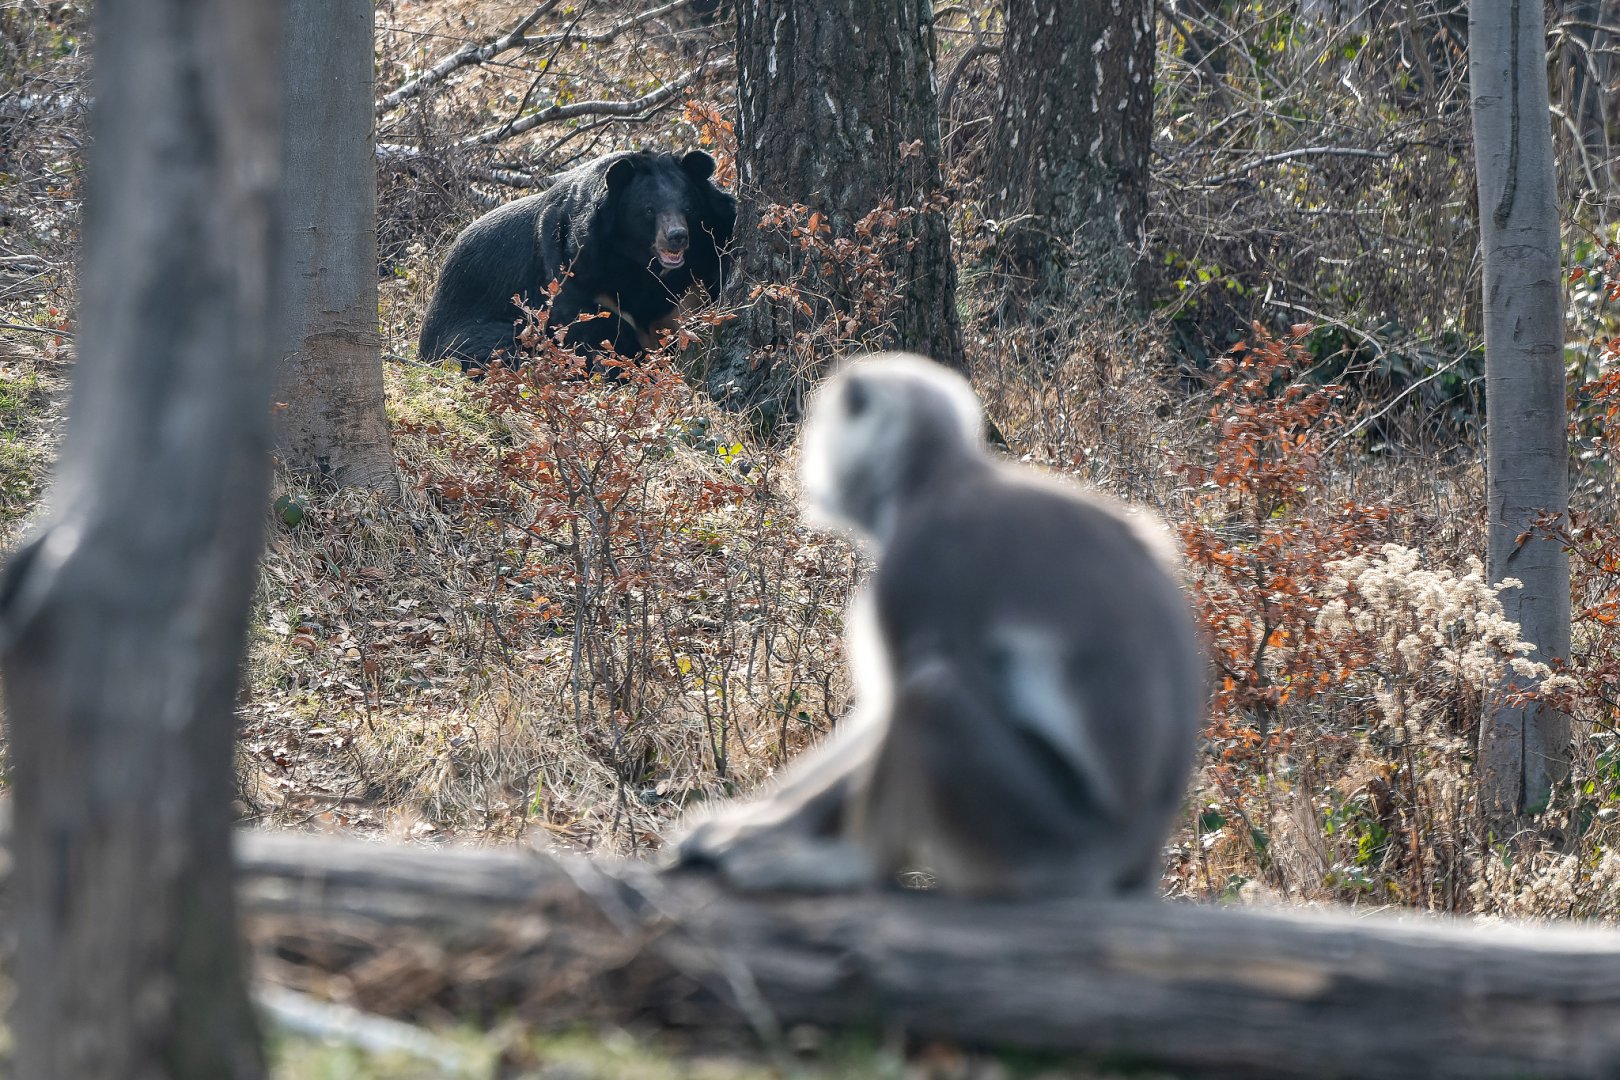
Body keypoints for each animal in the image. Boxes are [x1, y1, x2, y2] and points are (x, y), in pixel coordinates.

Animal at [418, 149, 736, 371]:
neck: (637, 262)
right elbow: (581, 326)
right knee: (496, 346)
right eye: (648, 210)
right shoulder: (572, 263)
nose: (677, 237)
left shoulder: (700, 261)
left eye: (689, 208)